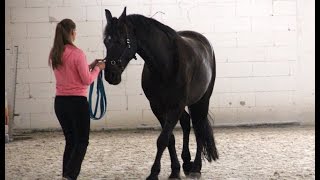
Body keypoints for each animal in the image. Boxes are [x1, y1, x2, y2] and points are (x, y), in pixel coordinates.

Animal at [104, 7, 219, 180]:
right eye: (106, 41)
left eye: (120, 40)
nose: (110, 75)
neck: (165, 65)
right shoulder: (157, 107)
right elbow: (169, 139)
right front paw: (175, 170)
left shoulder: (175, 106)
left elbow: (163, 139)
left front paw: (154, 173)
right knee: (187, 122)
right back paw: (186, 162)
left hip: (201, 101)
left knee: (199, 128)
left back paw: (195, 168)